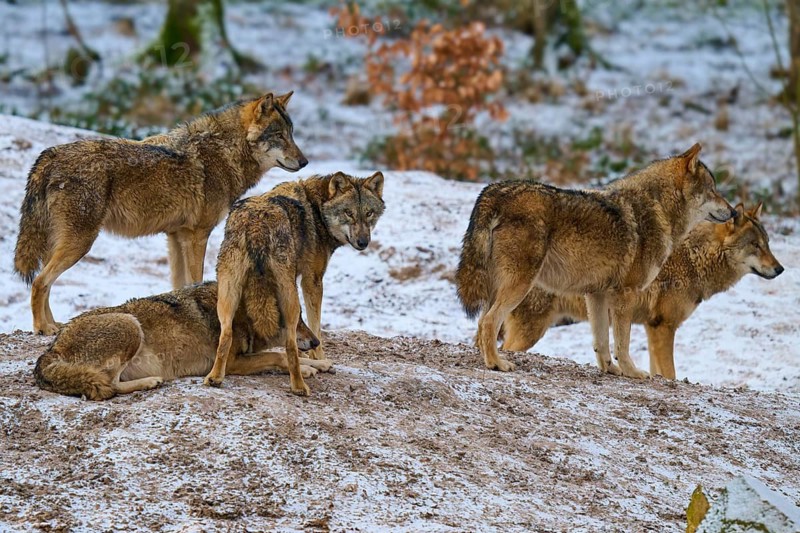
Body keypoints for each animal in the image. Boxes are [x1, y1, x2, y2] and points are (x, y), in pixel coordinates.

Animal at [14, 92, 306, 336]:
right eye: (279, 135)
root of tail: (50, 154)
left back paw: (52, 324)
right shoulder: (197, 236)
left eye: (291, 134)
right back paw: (42, 328)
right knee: (39, 282)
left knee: (44, 282)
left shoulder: (176, 236)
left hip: (63, 242)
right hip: (80, 243)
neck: (225, 153)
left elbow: (179, 285)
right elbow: (195, 279)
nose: (304, 162)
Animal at [33, 281, 331, 401]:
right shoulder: (230, 364)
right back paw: (151, 382)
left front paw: (320, 363)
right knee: (108, 386)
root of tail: (49, 351)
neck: (242, 314)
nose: (316, 342)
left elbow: (291, 354)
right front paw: (307, 370)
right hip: (131, 326)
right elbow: (278, 355)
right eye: (297, 321)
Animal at [203, 171, 385, 396]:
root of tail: (256, 225)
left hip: (228, 293)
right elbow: (316, 327)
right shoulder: (312, 280)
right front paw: (319, 358)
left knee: (226, 335)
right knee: (290, 343)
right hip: (290, 295)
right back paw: (299, 387)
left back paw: (214, 378)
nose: (363, 242)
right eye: (348, 213)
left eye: (368, 213)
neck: (317, 209)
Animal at [456, 143, 736, 378]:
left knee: (481, 326)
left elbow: (601, 342)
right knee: (487, 322)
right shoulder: (626, 293)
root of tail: (494, 190)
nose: (733, 211)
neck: (657, 209)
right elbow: (622, 343)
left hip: (498, 288)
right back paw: (497, 363)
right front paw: (633, 372)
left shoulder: (597, 294)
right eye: (712, 190)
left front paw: (610, 370)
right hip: (520, 287)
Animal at [501, 203, 784, 379]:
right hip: (531, 331)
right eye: (755, 246)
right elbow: (670, 374)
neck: (694, 260)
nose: (780, 269)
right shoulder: (663, 327)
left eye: (768, 244)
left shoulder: (651, 328)